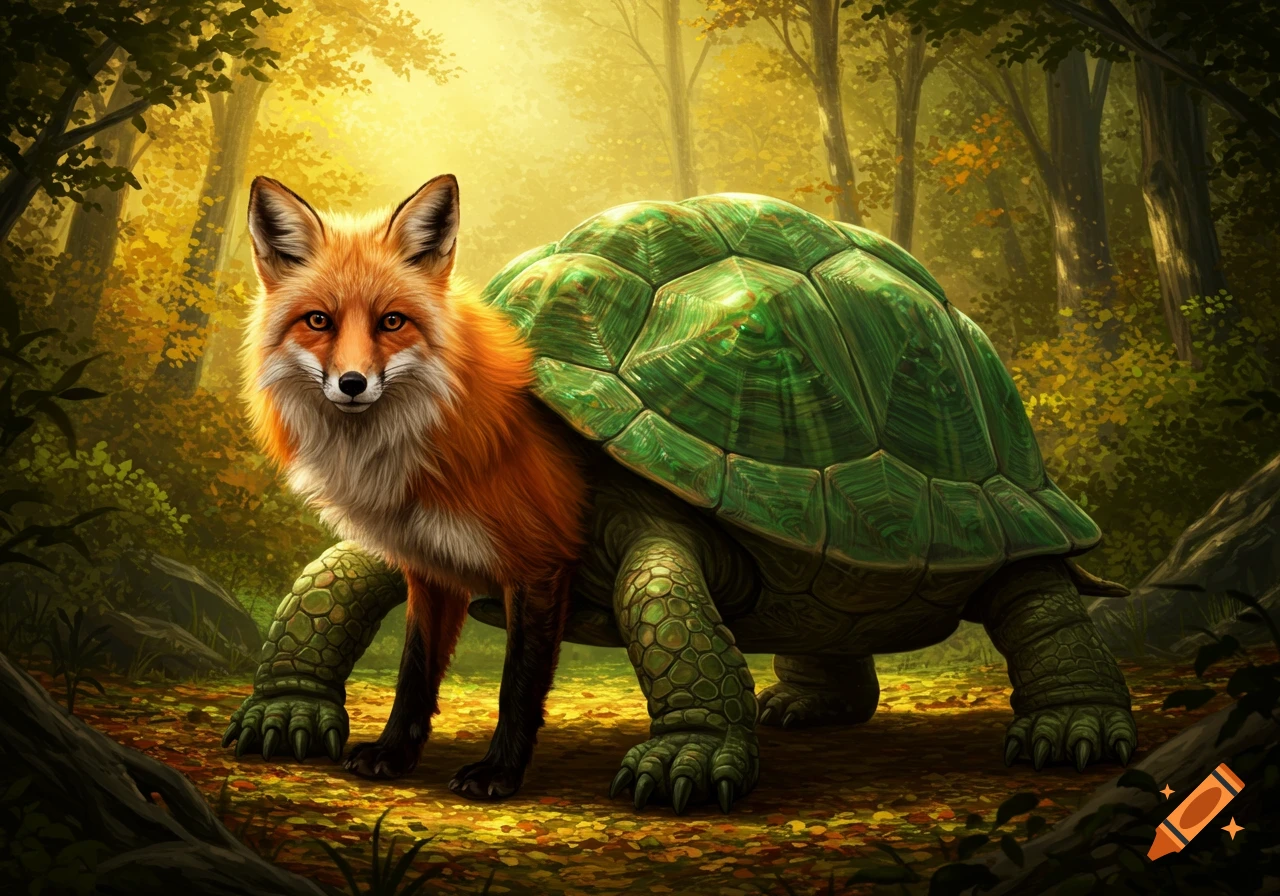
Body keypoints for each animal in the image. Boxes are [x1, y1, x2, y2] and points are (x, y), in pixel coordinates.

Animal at [242, 174, 587, 800]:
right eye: (319, 321)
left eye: (392, 321)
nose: (353, 383)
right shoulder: (431, 567)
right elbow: (415, 671)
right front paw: (394, 752)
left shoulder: (541, 562)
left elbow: (518, 684)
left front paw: (499, 771)